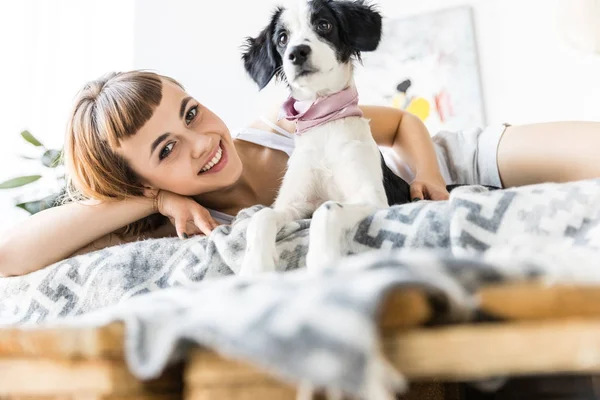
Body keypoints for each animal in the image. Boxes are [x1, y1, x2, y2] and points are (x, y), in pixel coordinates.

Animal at [239, 0, 390, 276]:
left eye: (324, 25)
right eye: (282, 38)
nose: (297, 53)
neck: (323, 123)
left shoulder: (372, 198)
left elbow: (326, 208)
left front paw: (323, 260)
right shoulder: (294, 205)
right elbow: (261, 216)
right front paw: (255, 266)